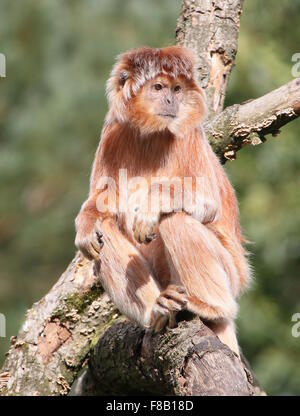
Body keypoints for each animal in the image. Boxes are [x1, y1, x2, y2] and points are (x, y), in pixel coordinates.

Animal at [75, 46, 251, 358]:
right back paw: (156, 311)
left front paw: (147, 207)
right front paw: (85, 224)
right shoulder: (113, 132)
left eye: (176, 89)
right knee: (104, 231)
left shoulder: (188, 134)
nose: (171, 100)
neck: (153, 133)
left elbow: (208, 201)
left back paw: (211, 306)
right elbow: (102, 200)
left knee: (176, 219)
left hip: (230, 276)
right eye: (158, 87)